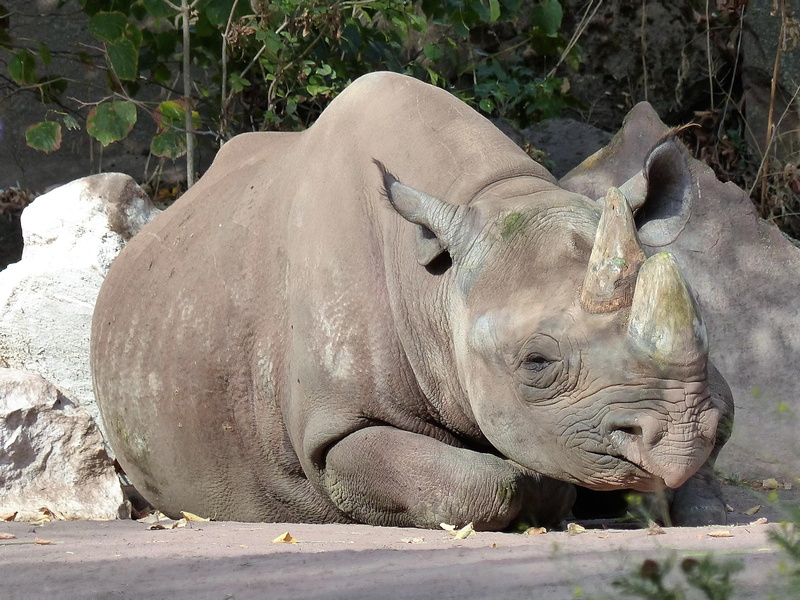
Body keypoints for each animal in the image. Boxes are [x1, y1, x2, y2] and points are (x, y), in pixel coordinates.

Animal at [91, 72, 733, 530]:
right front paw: (550, 492)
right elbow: (487, 483)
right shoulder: (336, 430)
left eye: (706, 329)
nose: (680, 437)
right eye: (537, 363)